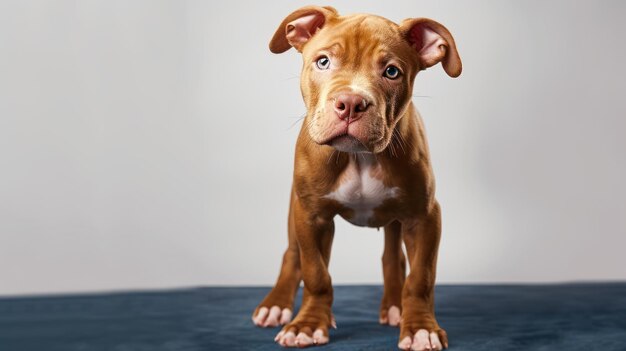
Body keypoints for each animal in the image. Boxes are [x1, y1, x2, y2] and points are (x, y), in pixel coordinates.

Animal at [251, 6, 460, 351]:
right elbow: (316, 272)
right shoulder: (311, 216)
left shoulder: (424, 217)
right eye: (323, 61)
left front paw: (420, 328)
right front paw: (308, 325)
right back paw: (276, 305)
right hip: (296, 209)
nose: (350, 103)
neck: (359, 157)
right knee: (293, 254)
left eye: (392, 71)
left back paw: (396, 307)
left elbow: (421, 278)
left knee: (393, 257)